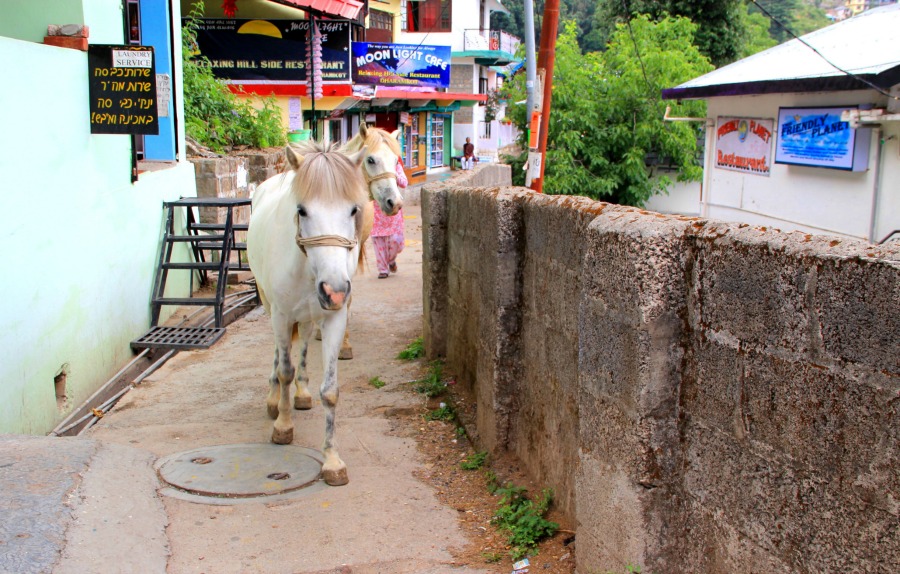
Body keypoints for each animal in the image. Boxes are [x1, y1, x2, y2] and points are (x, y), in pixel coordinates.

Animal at [246, 140, 366, 486]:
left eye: (353, 209)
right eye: (302, 210)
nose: (335, 289)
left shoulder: (334, 318)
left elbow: (331, 391)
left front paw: (332, 459)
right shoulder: (281, 315)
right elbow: (284, 369)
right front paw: (283, 426)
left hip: (310, 315)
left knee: (301, 348)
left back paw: (301, 392)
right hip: (271, 307)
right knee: (280, 354)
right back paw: (275, 399)